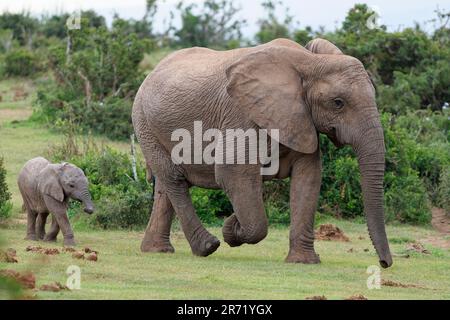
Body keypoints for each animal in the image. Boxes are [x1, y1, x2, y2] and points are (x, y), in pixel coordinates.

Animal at [133, 37, 394, 268]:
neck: (309, 61)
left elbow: (308, 178)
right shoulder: (242, 114)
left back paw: (157, 250)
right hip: (144, 122)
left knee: (165, 186)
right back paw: (207, 246)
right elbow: (232, 171)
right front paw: (232, 227)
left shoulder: (301, 119)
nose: (384, 263)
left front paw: (303, 262)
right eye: (338, 102)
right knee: (174, 179)